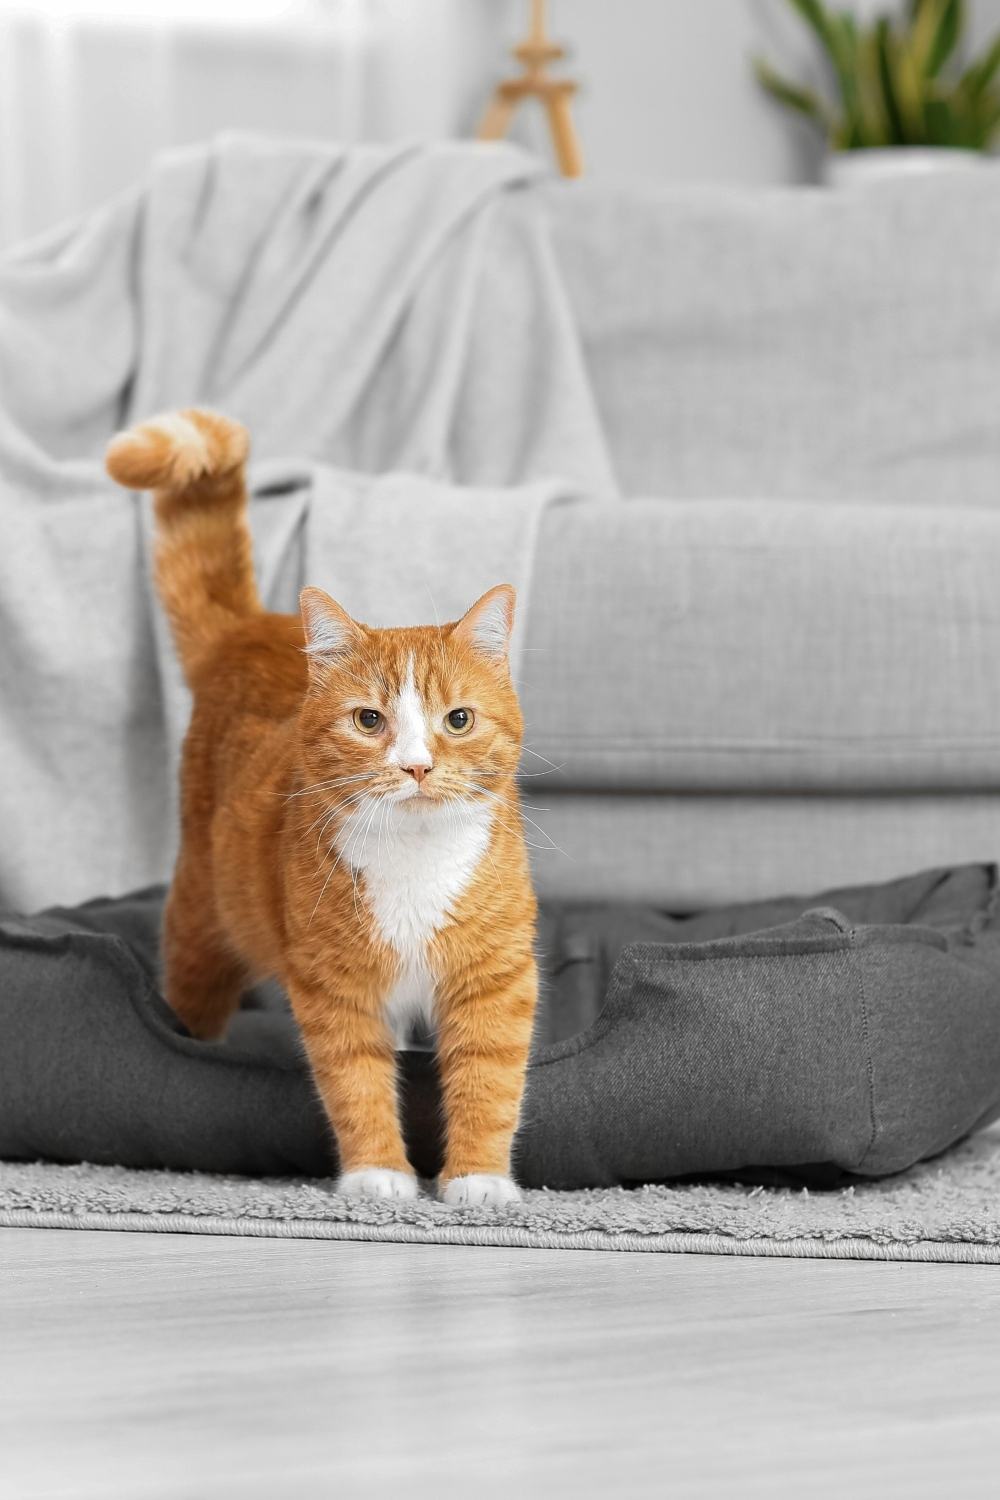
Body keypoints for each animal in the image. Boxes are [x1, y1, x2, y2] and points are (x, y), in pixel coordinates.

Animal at [104, 411, 536, 1206]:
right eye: (369, 721)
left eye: (458, 720)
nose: (417, 766)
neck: (413, 859)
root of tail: (251, 628)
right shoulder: (336, 988)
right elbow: (357, 1082)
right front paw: (378, 1174)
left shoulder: (493, 980)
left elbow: (489, 1082)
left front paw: (478, 1181)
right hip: (204, 920)